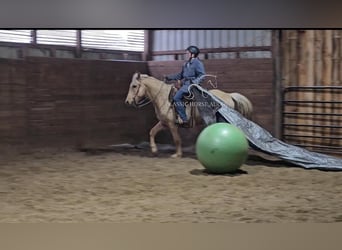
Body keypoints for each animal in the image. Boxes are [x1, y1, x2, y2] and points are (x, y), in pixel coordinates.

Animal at [124, 72, 252, 157]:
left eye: (134, 86)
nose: (128, 101)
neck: (163, 97)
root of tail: (229, 95)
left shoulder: (172, 124)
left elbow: (176, 139)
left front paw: (177, 154)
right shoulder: (164, 123)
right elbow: (152, 132)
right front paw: (154, 149)